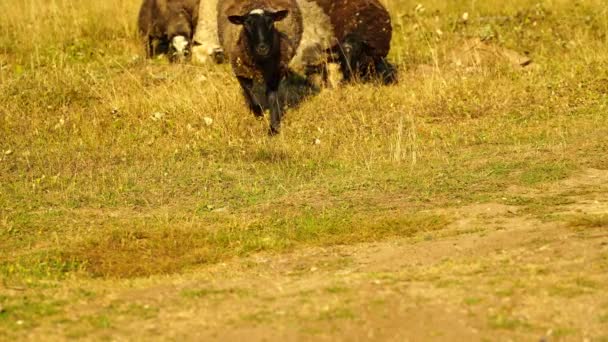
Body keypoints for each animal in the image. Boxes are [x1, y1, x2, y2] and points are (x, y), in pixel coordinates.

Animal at [218, 0, 304, 136]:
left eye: (271, 22)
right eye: (246, 24)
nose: (262, 48)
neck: (261, 63)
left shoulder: (275, 71)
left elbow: (272, 97)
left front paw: (274, 127)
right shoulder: (240, 70)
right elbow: (249, 91)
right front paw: (258, 113)